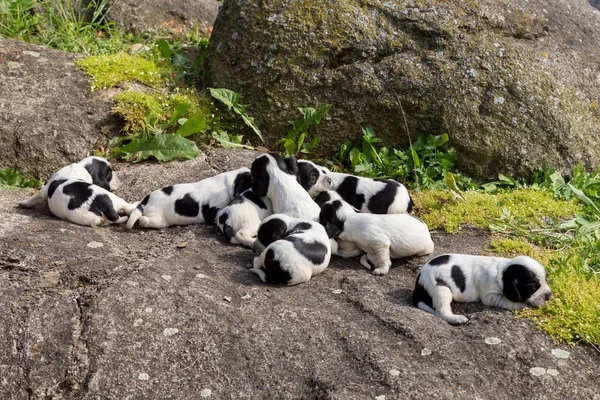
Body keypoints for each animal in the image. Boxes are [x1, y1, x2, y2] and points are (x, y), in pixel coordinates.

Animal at [412, 253, 552, 324]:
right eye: (532, 287)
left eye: (546, 279)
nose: (549, 295)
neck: (502, 272)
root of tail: (418, 282)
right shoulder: (490, 296)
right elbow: (507, 301)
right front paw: (523, 305)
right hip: (441, 289)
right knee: (443, 311)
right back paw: (458, 319)